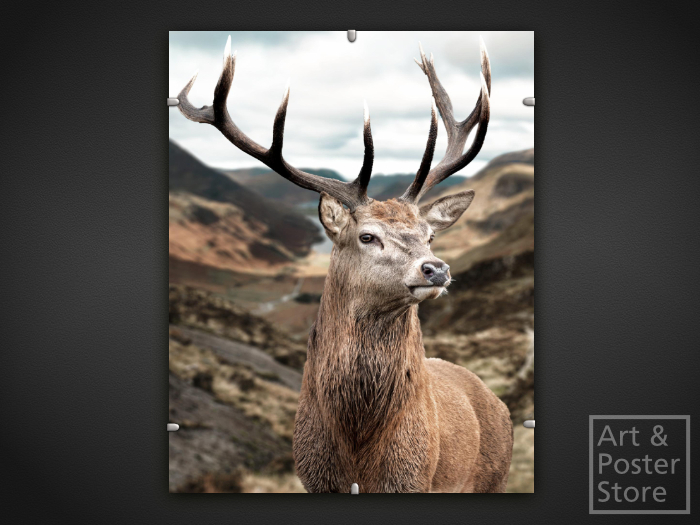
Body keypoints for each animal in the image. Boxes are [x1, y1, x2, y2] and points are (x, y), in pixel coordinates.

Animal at [175, 36, 514, 493]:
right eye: (367, 236)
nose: (436, 269)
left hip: (492, 478)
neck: (356, 447)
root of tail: (498, 401)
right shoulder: (313, 478)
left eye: (429, 235)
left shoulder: (413, 480)